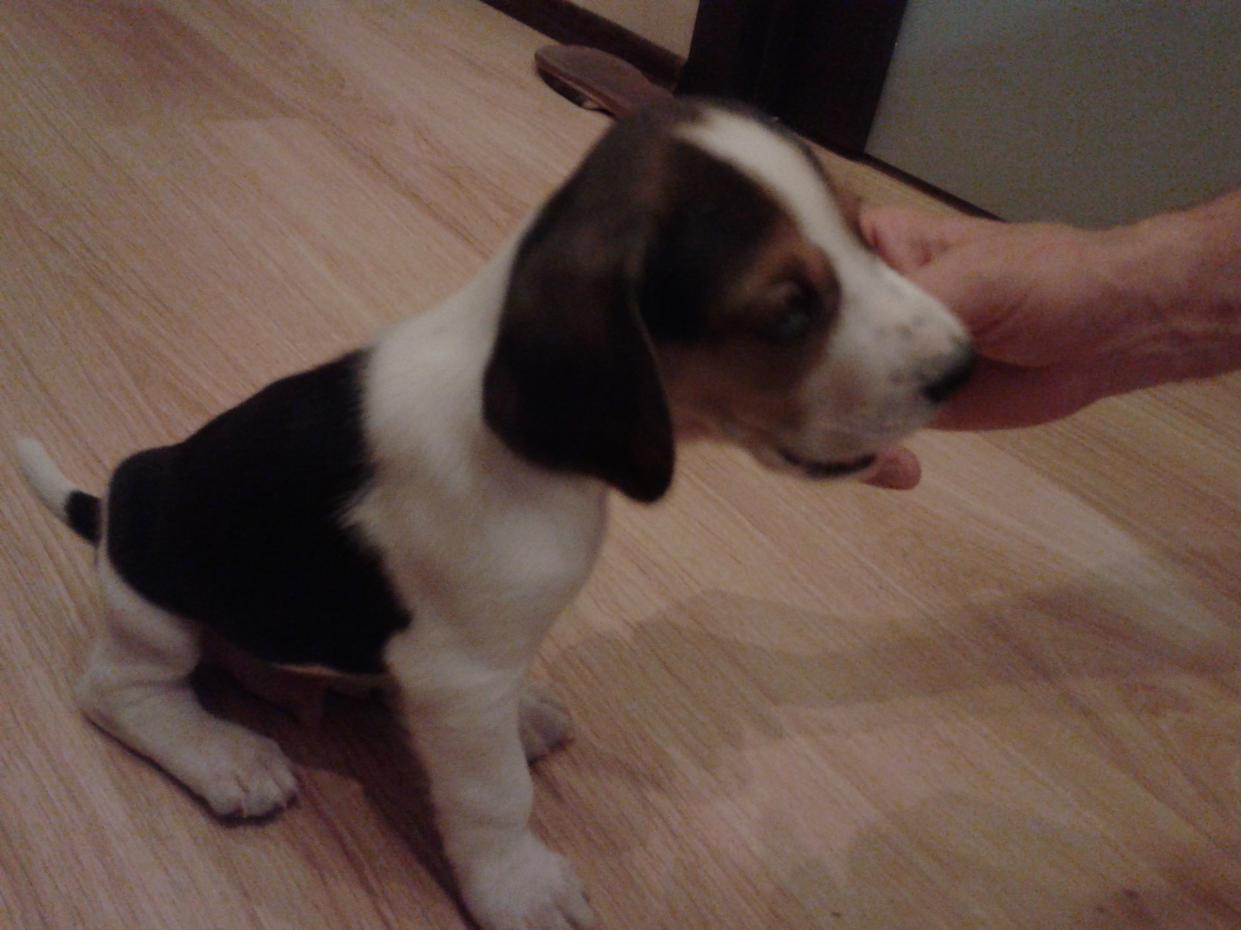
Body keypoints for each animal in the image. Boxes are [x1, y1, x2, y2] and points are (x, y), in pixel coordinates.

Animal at [18, 99, 973, 930]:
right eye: (788, 311)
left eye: (863, 231)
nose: (962, 366)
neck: (533, 455)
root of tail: (113, 503)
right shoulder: (458, 672)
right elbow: (494, 792)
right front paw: (521, 889)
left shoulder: (480, 663)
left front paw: (521, 726)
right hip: (155, 602)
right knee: (120, 691)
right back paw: (227, 755)